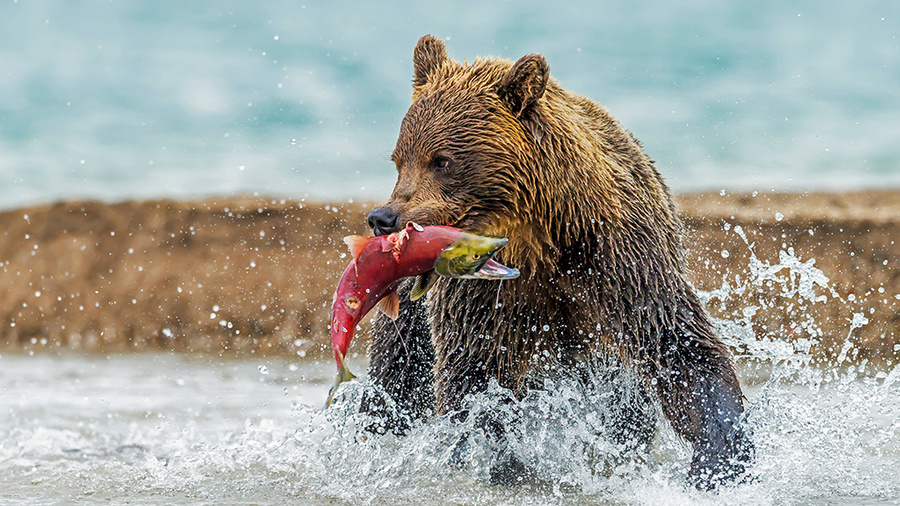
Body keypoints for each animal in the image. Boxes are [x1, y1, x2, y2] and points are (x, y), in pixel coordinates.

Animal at [362, 33, 748, 488]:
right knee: (395, 376)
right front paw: (494, 458)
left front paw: (720, 456)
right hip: (410, 308)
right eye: (399, 159)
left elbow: (676, 342)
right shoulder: (484, 294)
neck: (539, 239)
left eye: (442, 160)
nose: (384, 219)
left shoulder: (618, 259)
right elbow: (474, 373)